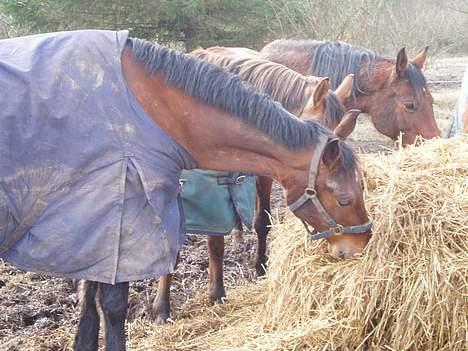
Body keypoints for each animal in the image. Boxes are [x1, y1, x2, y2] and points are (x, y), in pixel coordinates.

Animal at [1, 31, 372, 351]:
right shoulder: (129, 211)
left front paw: (219, 292)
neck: (163, 112)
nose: (360, 245)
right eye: (344, 198)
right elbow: (116, 296)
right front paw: (161, 309)